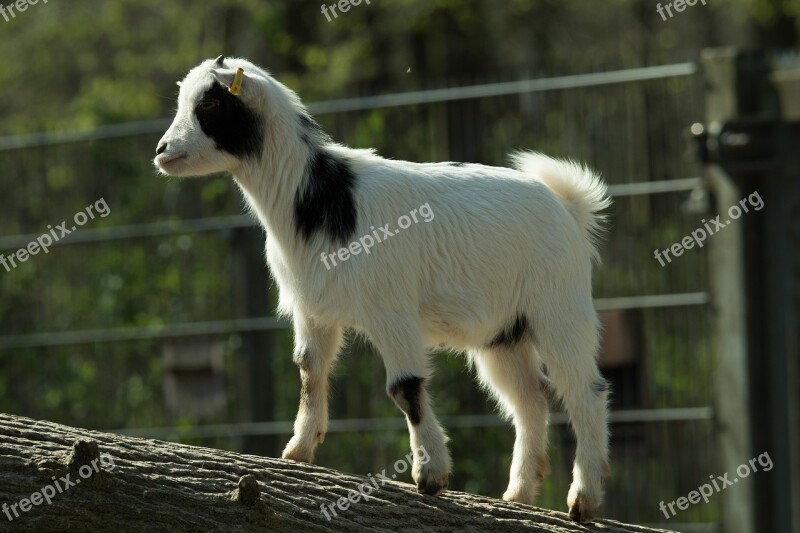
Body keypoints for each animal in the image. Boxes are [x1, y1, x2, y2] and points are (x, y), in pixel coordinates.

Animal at [155, 56, 612, 520]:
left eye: (209, 104)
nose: (161, 150)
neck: (321, 199)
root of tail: (568, 205)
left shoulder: (391, 311)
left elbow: (404, 388)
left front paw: (430, 476)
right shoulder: (312, 311)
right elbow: (309, 370)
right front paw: (298, 451)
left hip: (559, 309)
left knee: (585, 394)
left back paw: (583, 499)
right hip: (504, 334)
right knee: (529, 401)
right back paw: (517, 494)